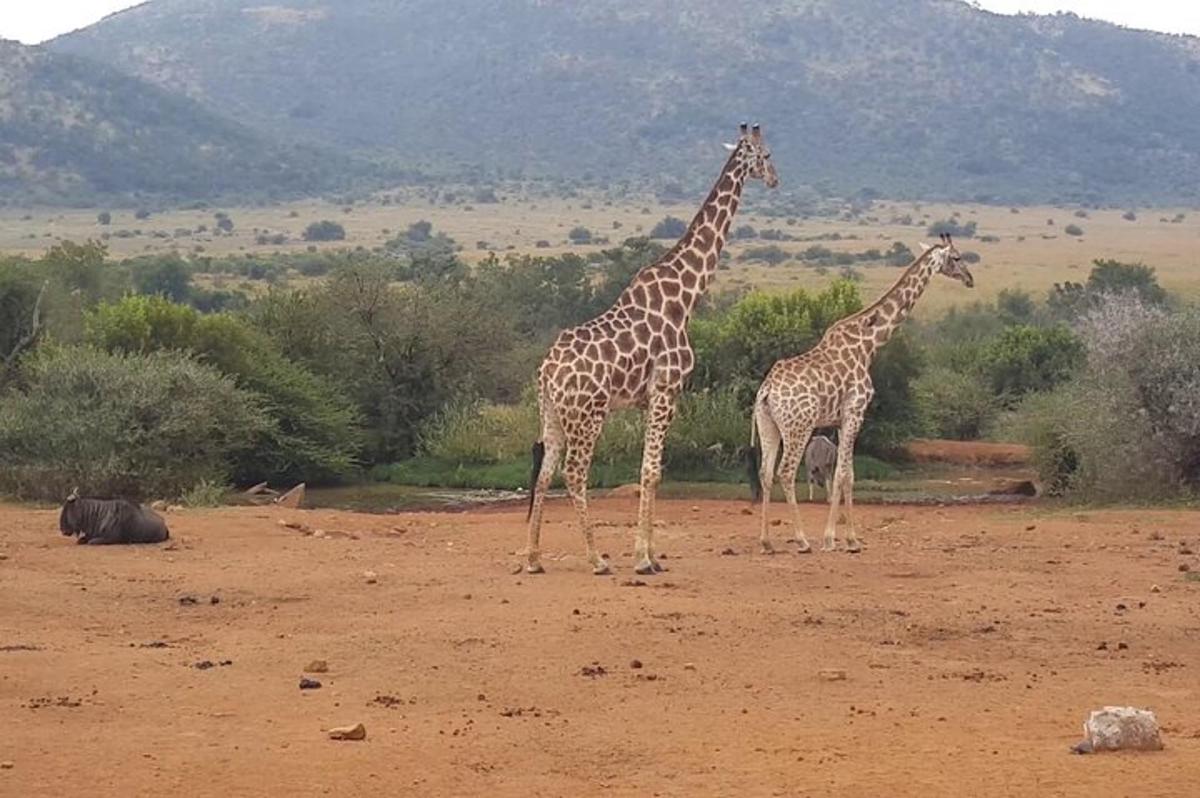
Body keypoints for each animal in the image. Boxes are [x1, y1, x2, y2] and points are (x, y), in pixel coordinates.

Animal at [525, 123, 777, 573]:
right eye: (765, 155)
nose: (775, 179)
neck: (686, 296)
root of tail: (547, 372)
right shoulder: (667, 391)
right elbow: (652, 471)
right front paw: (643, 559)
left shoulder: (648, 400)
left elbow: (648, 468)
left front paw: (652, 553)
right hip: (588, 415)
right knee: (574, 473)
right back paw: (596, 559)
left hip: (552, 413)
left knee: (545, 472)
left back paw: (535, 558)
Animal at [748, 234, 974, 552]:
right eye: (955, 257)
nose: (969, 279)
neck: (869, 345)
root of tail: (767, 390)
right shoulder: (855, 413)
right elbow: (842, 474)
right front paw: (832, 539)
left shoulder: (841, 420)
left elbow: (849, 475)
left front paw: (851, 538)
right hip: (799, 426)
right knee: (786, 472)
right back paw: (802, 540)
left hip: (768, 425)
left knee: (765, 473)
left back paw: (766, 541)